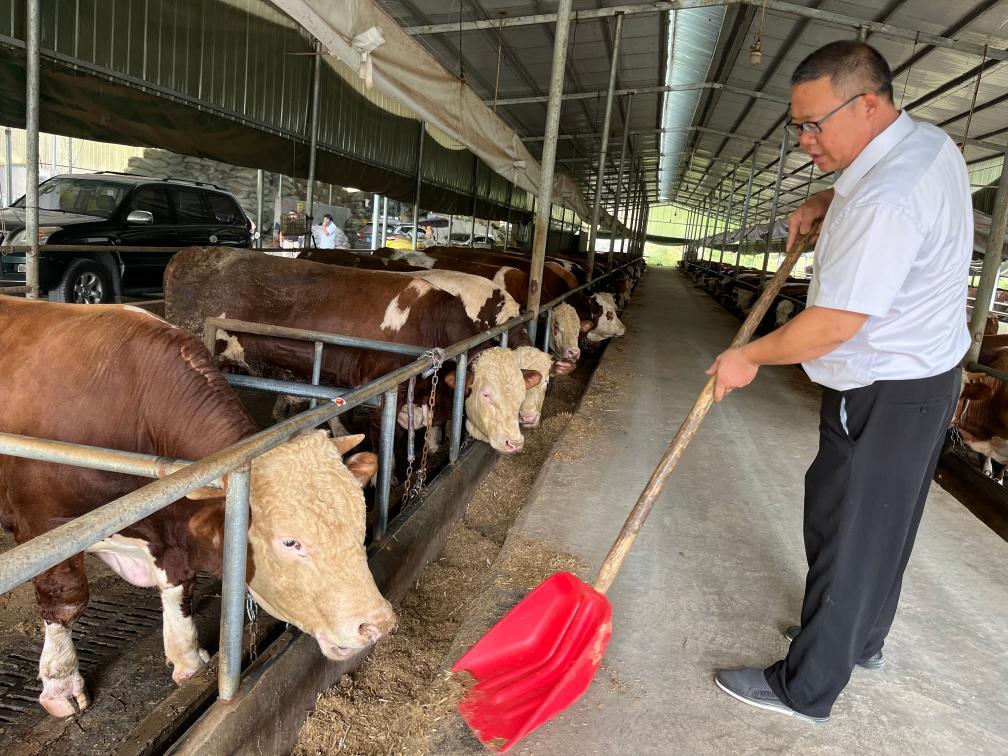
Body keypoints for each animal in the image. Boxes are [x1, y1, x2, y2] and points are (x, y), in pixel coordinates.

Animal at [0, 296, 393, 717]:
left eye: (360, 522)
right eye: (291, 542)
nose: (378, 624)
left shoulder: (171, 534)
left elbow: (179, 590)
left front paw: (188, 659)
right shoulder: (44, 523)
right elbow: (65, 601)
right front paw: (62, 683)